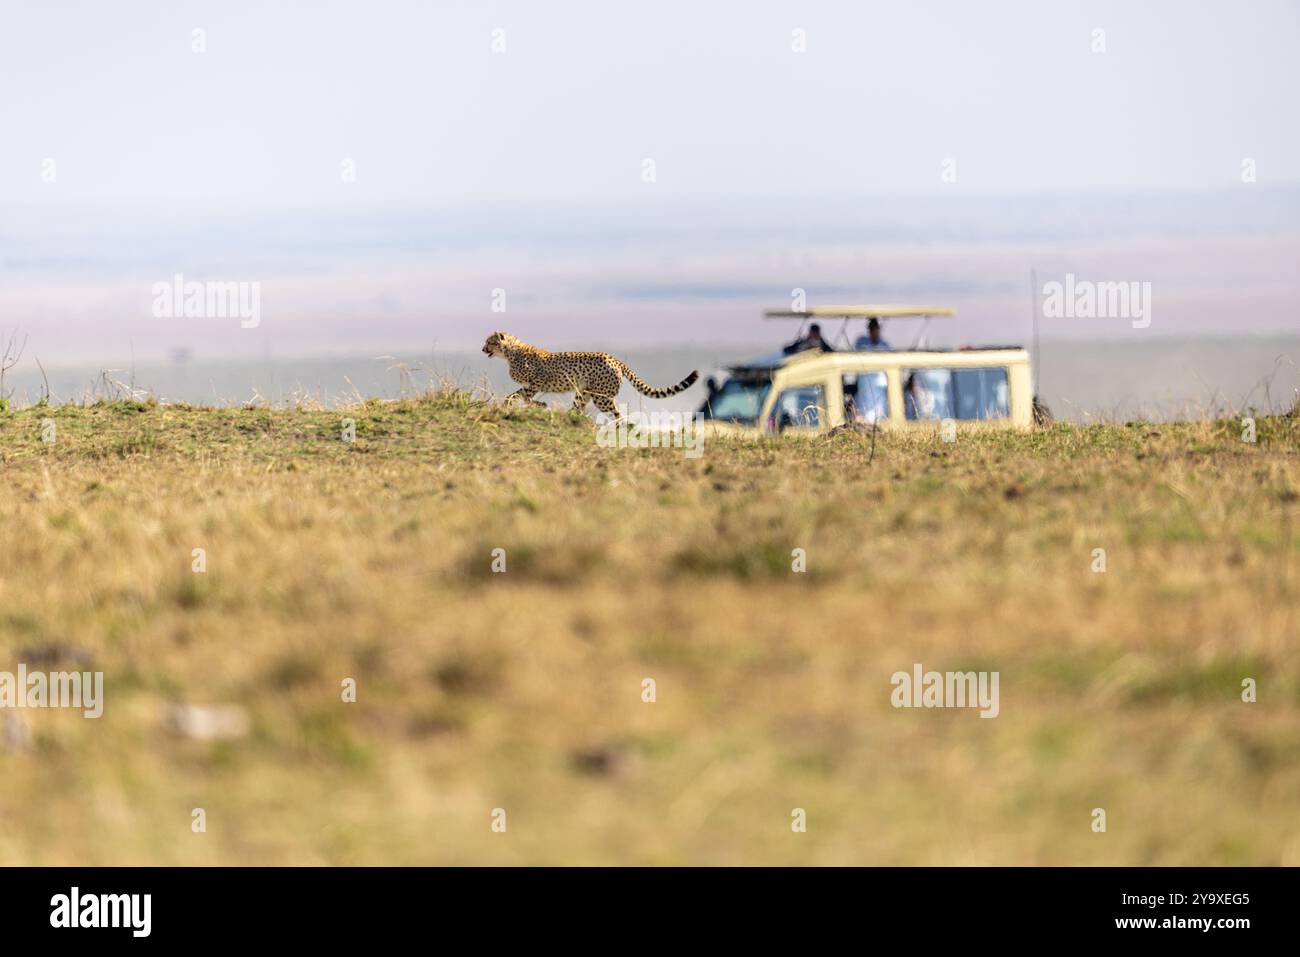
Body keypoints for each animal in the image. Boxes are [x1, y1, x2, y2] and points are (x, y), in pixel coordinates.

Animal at [480, 330, 702, 416]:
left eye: (489, 342)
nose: (482, 349)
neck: (510, 352)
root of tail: (614, 358)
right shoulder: (532, 385)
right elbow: (519, 396)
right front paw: (537, 405)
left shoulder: (537, 382)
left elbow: (520, 396)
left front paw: (537, 405)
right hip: (584, 393)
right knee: (578, 409)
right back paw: (569, 419)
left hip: (601, 397)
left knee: (619, 416)